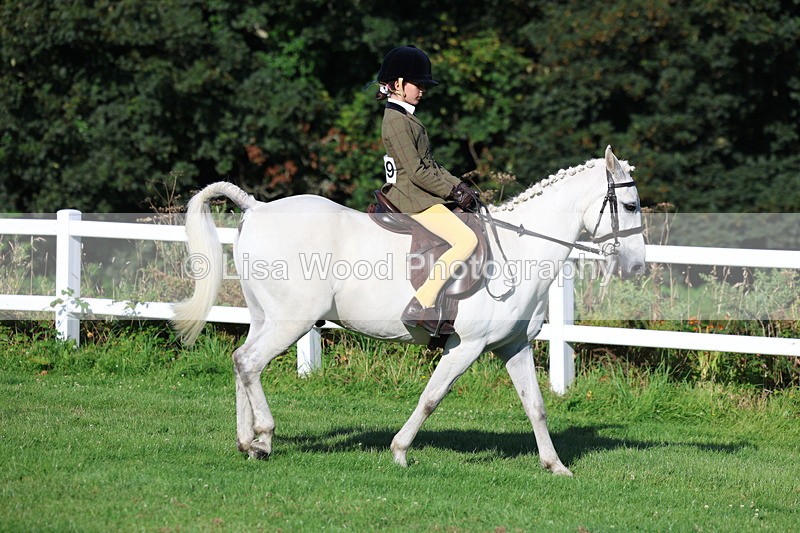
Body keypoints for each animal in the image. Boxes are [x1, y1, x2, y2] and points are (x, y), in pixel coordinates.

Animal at [172, 146, 646, 476]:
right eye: (630, 206)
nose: (638, 266)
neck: (518, 250)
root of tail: (259, 208)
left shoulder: (512, 347)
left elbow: (536, 406)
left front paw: (555, 466)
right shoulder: (466, 346)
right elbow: (432, 397)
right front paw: (400, 453)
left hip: (265, 318)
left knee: (240, 361)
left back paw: (246, 442)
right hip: (291, 322)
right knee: (250, 363)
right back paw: (264, 438)